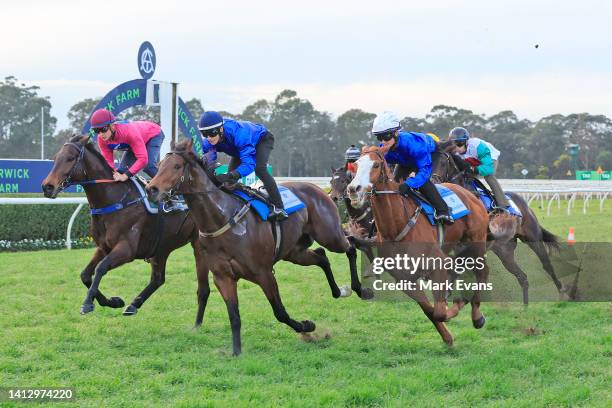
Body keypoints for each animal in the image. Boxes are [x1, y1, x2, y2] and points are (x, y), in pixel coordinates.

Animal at [41, 137, 210, 326]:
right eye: (56, 158)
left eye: (70, 158)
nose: (47, 187)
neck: (115, 200)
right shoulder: (104, 247)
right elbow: (85, 275)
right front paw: (113, 301)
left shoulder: (127, 249)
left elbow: (100, 268)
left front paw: (87, 303)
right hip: (162, 245)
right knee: (158, 279)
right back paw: (133, 305)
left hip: (197, 243)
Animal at [147, 139, 368, 356]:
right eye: (159, 165)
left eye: (176, 166)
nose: (152, 189)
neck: (223, 218)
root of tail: (320, 190)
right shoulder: (223, 277)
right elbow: (234, 315)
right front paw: (236, 352)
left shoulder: (263, 273)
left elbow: (280, 312)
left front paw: (307, 327)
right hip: (294, 252)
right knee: (322, 257)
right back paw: (339, 291)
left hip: (330, 236)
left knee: (350, 246)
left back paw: (360, 289)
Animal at [346, 145, 490, 346]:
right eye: (356, 165)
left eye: (375, 165)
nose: (353, 189)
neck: (396, 227)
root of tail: (470, 194)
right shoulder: (405, 279)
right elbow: (430, 311)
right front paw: (447, 337)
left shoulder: (437, 264)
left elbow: (440, 312)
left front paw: (458, 303)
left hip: (477, 241)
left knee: (483, 272)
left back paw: (477, 317)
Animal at [430, 141, 564, 302]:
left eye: (444, 162)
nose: (432, 182)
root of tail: (524, 205)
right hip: (504, 251)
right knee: (523, 277)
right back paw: (525, 305)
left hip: (533, 238)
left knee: (546, 265)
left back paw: (563, 293)